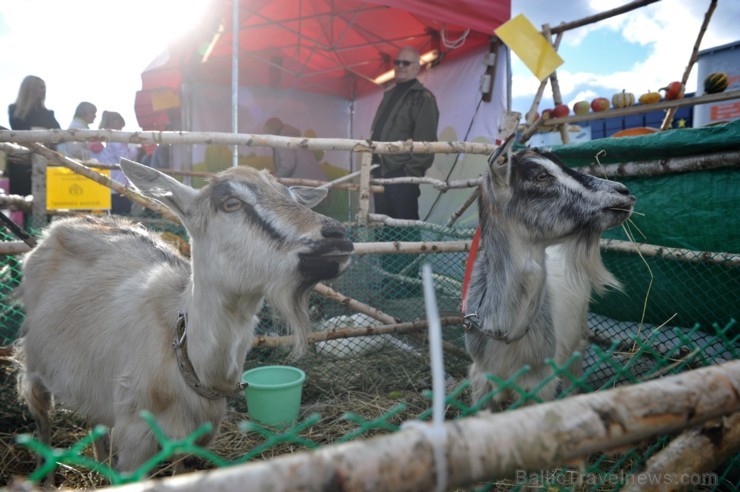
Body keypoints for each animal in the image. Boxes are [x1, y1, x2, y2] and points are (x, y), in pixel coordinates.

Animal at [14, 160, 354, 470]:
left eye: (293, 197)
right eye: (231, 203)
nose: (338, 235)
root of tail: (57, 228)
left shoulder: (189, 442)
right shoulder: (134, 443)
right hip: (35, 369)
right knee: (43, 422)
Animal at [466, 143, 632, 412]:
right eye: (541, 176)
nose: (623, 191)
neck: (508, 331)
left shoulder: (539, 383)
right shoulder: (481, 377)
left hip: (578, 340)